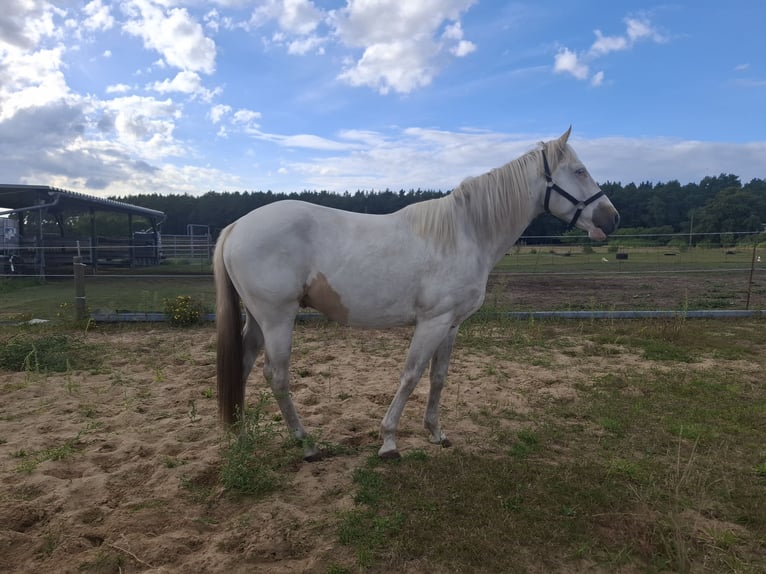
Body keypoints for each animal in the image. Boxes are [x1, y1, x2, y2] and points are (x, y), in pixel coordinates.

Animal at [214, 127, 620, 460]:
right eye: (580, 171)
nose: (612, 218)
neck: (465, 233)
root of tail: (236, 227)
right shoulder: (432, 321)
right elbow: (411, 375)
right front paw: (389, 441)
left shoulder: (451, 325)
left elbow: (437, 377)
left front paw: (436, 433)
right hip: (278, 318)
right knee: (276, 376)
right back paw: (306, 444)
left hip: (258, 320)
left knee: (244, 365)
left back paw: (240, 435)